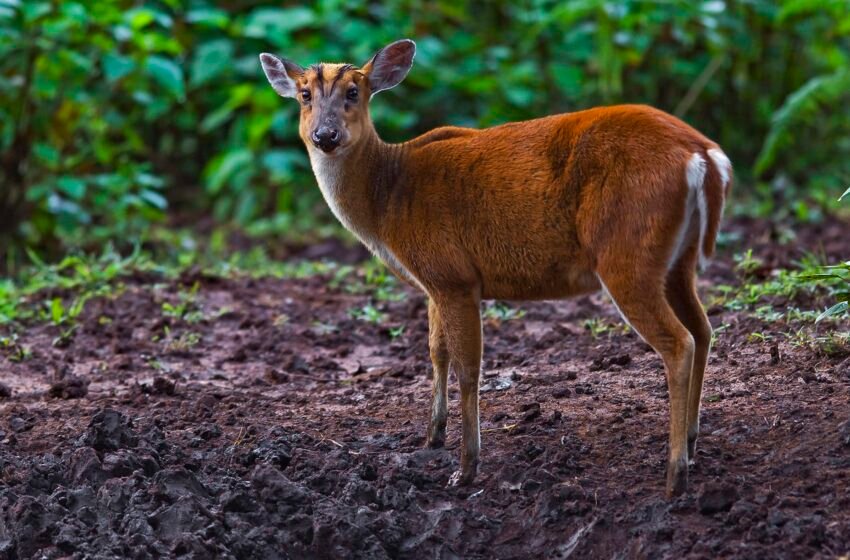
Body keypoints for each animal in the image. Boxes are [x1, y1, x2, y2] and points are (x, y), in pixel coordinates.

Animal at [256, 39, 728, 496]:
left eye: (354, 92)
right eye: (304, 94)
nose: (325, 135)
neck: (387, 200)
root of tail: (704, 154)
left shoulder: (453, 274)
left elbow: (469, 368)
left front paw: (465, 470)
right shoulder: (435, 281)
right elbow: (436, 351)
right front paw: (432, 438)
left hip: (625, 253)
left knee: (678, 342)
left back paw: (674, 476)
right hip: (677, 259)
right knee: (703, 329)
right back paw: (691, 442)